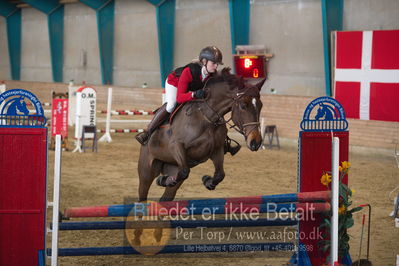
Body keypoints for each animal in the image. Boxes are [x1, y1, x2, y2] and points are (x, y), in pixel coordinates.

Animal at [138, 67, 266, 203]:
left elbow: (220, 175)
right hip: (146, 171)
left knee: (167, 195)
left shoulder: (216, 150)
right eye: (243, 106)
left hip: (172, 167)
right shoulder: (176, 146)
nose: (256, 142)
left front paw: (207, 181)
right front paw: (163, 180)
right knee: (143, 193)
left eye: (260, 106)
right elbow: (184, 171)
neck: (207, 118)